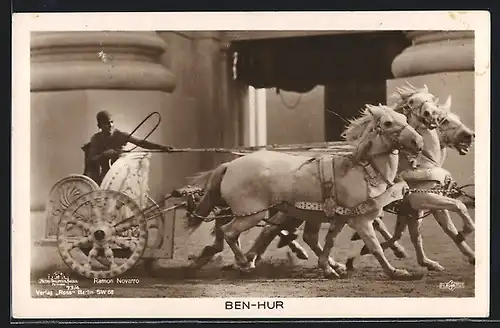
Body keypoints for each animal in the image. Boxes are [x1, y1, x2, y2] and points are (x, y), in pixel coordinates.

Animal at [186, 103, 424, 280]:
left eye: (404, 118)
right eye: (388, 122)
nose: (418, 141)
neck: (362, 169)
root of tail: (229, 166)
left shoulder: (339, 217)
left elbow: (328, 241)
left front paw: (329, 267)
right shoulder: (361, 221)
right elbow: (375, 247)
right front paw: (395, 271)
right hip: (252, 215)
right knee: (228, 232)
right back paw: (244, 262)